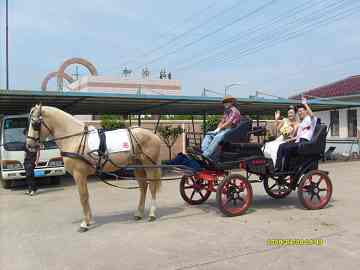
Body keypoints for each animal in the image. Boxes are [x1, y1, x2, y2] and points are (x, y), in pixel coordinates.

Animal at [27, 104, 162, 231]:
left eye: (35, 124)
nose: (29, 145)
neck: (75, 138)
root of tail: (153, 134)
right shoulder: (82, 175)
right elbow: (86, 196)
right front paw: (89, 220)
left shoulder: (79, 174)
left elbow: (83, 197)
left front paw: (84, 223)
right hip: (138, 165)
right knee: (143, 187)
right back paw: (139, 213)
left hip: (149, 165)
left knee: (152, 186)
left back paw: (152, 214)